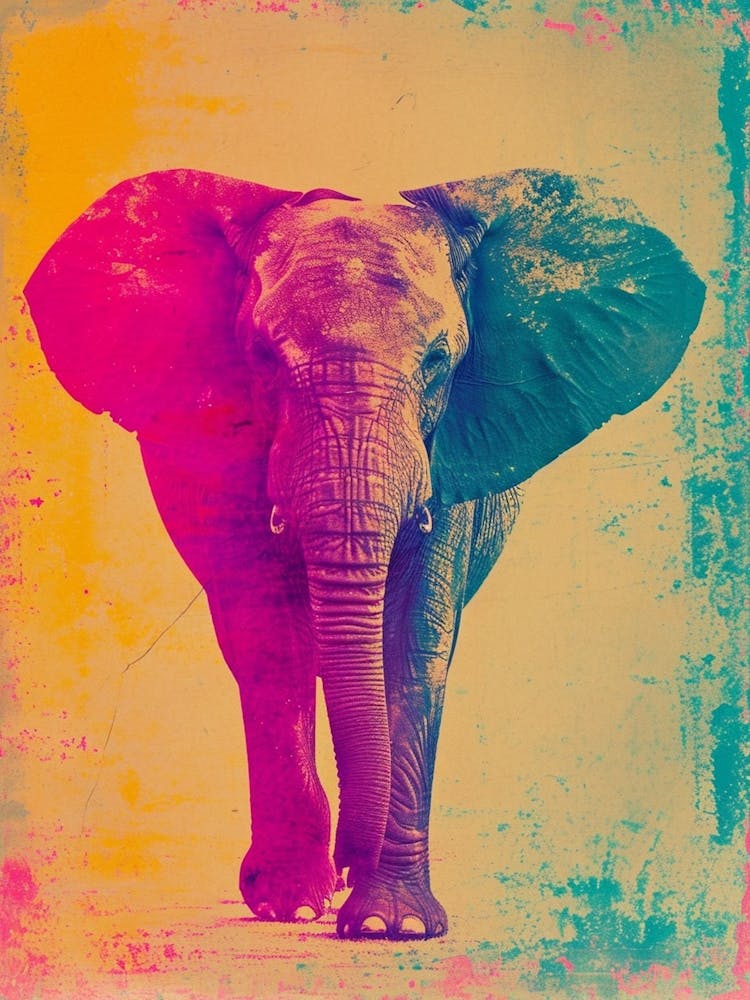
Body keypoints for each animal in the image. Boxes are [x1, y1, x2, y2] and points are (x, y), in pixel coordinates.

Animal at [24, 168, 704, 940]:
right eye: (261, 357)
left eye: (439, 361)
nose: (353, 861)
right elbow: (274, 637)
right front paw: (295, 903)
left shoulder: (451, 447)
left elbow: (411, 640)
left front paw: (389, 925)